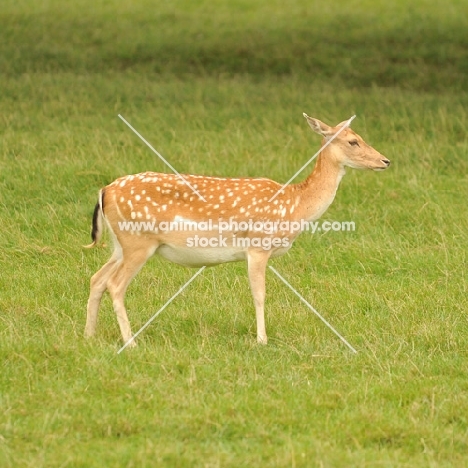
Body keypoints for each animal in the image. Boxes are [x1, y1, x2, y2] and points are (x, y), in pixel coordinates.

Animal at [85, 114, 392, 346]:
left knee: (97, 278)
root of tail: (105, 190)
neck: (295, 206)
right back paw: (130, 342)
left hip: (120, 244)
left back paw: (90, 336)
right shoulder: (258, 246)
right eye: (353, 141)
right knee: (115, 285)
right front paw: (262, 340)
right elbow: (259, 294)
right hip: (138, 241)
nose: (385, 160)